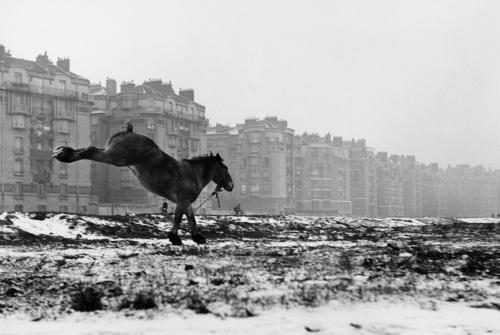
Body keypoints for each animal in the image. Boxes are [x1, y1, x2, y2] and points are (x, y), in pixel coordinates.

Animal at [51, 123, 233, 247]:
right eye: (225, 168)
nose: (231, 185)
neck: (192, 173)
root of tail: (128, 132)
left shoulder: (186, 202)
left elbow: (191, 219)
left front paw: (197, 237)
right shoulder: (182, 201)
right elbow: (178, 219)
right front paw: (175, 238)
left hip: (112, 154)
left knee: (90, 149)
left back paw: (63, 152)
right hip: (115, 157)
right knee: (90, 150)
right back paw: (64, 155)